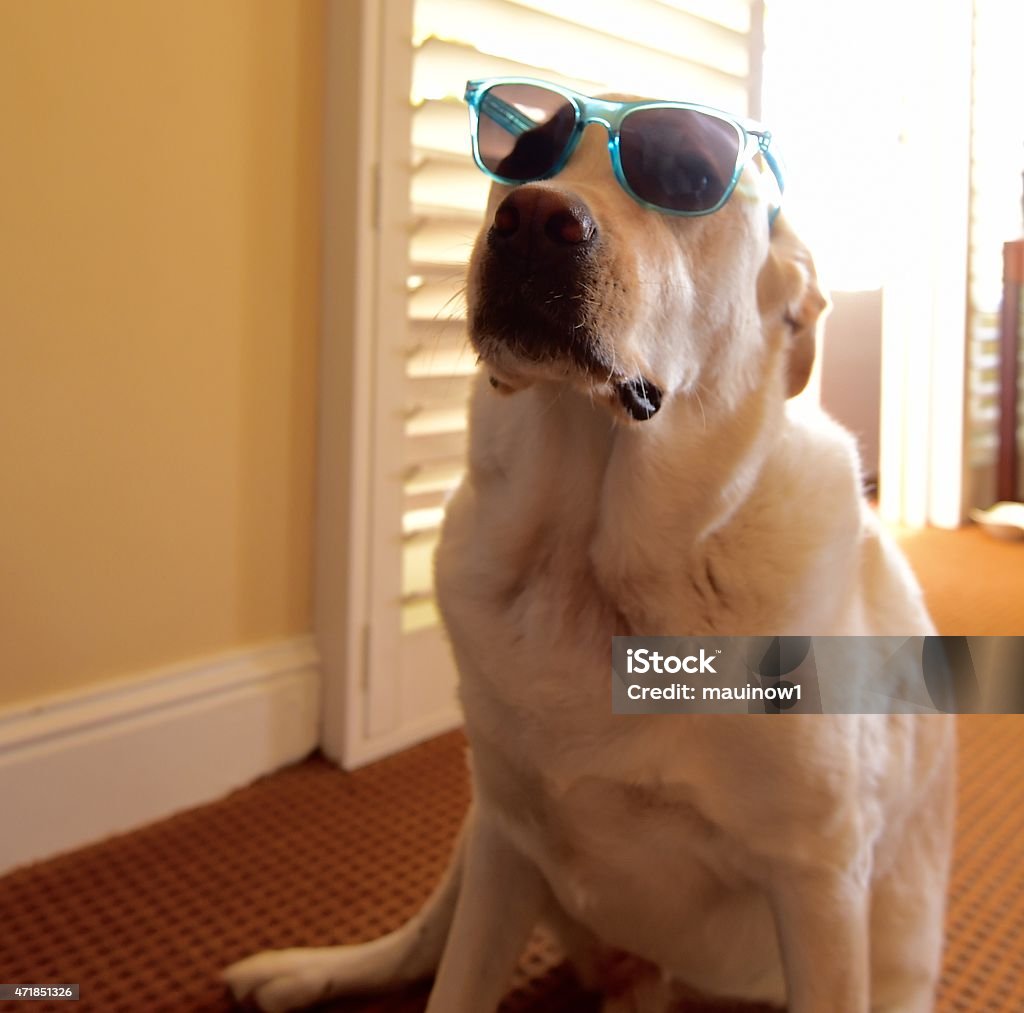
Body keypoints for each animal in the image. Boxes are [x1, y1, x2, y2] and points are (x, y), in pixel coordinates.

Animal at [224, 82, 950, 1007]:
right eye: (528, 153)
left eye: (689, 174)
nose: (534, 218)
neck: (584, 566)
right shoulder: (506, 833)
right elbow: (454, 978)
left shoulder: (819, 886)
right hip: (480, 822)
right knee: (422, 939)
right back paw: (306, 970)